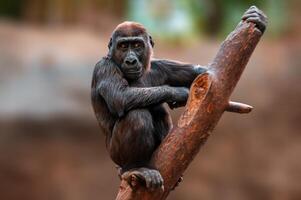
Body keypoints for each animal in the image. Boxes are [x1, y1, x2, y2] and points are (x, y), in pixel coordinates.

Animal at [91, 5, 264, 190]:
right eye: (123, 46)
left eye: (137, 45)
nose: (130, 60)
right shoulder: (104, 68)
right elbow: (120, 97)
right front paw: (181, 93)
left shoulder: (160, 66)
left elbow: (204, 72)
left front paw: (258, 21)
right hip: (114, 156)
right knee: (136, 114)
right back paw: (135, 168)